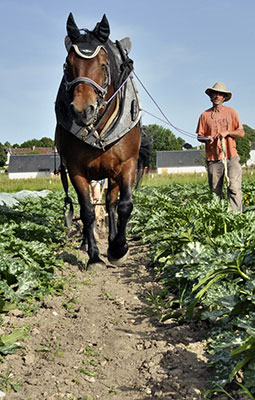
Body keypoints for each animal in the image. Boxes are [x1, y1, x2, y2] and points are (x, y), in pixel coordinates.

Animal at [54, 13, 146, 268]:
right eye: (67, 65)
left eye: (104, 65)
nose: (82, 110)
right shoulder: (76, 169)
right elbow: (87, 211)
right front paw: (94, 255)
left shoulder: (127, 164)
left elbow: (123, 206)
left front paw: (118, 248)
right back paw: (87, 243)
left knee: (111, 204)